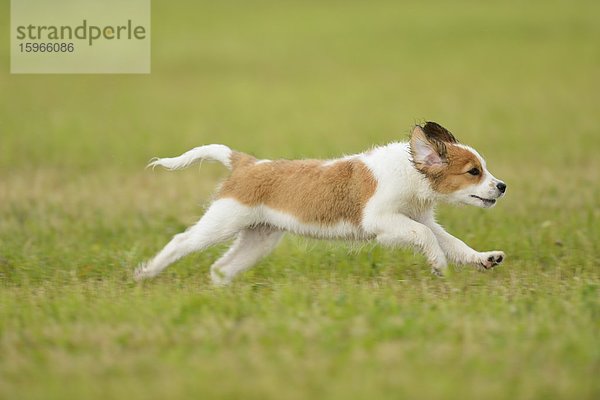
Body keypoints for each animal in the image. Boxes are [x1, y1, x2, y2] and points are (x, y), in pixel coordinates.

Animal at [135, 122, 506, 284]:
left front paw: (484, 258)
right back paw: (146, 273)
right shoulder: (382, 219)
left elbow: (452, 242)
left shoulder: (420, 219)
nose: (502, 187)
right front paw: (438, 264)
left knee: (222, 266)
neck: (410, 172)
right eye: (473, 172)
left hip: (260, 237)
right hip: (221, 222)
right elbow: (429, 239)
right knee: (181, 241)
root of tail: (247, 164)